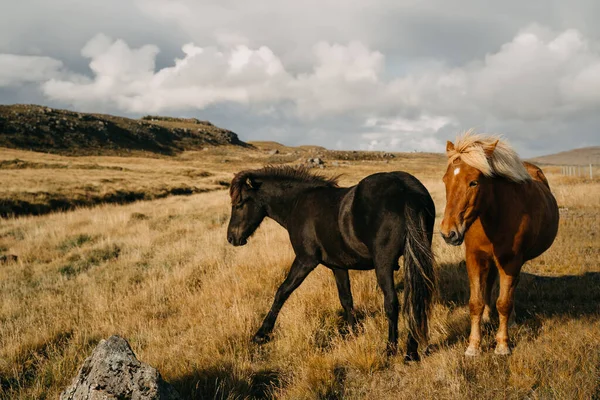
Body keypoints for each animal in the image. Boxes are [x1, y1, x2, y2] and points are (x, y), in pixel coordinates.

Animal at [226, 167, 436, 360]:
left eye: (239, 204)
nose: (231, 238)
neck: (297, 202)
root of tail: (406, 190)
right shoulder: (338, 266)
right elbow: (346, 299)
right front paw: (353, 331)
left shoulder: (305, 260)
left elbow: (282, 292)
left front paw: (262, 333)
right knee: (415, 301)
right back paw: (411, 352)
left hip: (383, 265)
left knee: (393, 303)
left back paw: (391, 349)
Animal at [438, 132, 560, 356]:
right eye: (445, 180)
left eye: (474, 182)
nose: (448, 233)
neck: (493, 216)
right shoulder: (475, 258)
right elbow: (475, 302)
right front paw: (473, 346)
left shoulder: (511, 261)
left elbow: (504, 302)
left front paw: (502, 344)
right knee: (489, 283)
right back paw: (488, 316)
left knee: (510, 290)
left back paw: (511, 321)